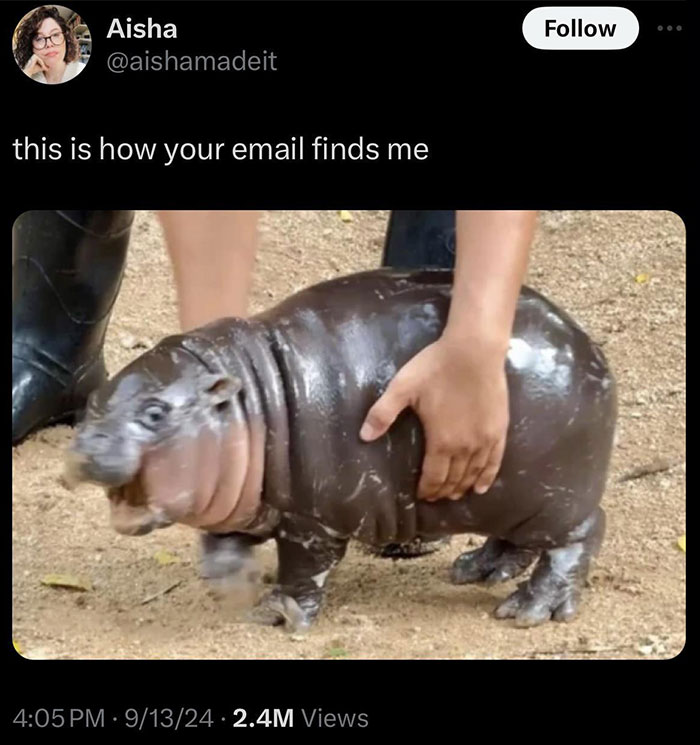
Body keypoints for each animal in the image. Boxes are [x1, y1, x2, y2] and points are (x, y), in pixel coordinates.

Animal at [65, 268, 617, 630]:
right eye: (93, 400)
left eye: (155, 412)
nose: (86, 446)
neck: (250, 400)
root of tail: (589, 347)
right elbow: (223, 541)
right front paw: (232, 583)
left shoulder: (313, 523)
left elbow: (303, 571)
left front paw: (277, 613)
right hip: (509, 496)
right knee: (517, 541)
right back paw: (475, 570)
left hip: (556, 496)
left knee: (579, 537)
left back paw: (528, 611)